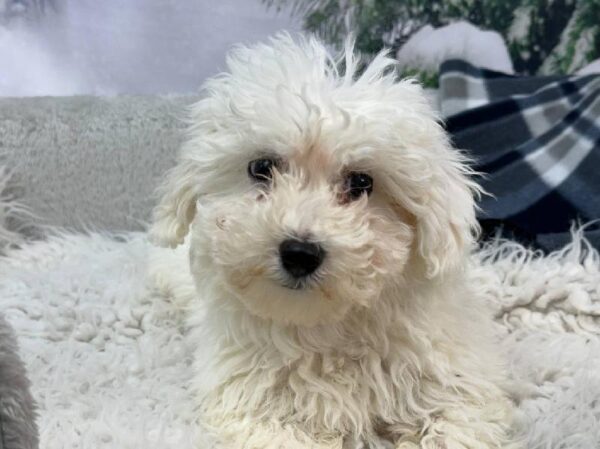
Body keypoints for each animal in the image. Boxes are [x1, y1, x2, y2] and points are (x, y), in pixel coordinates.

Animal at [149, 34, 516, 448]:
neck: (324, 329)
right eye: (261, 168)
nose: (299, 253)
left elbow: (455, 424)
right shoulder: (251, 405)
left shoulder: (459, 387)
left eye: (361, 183)